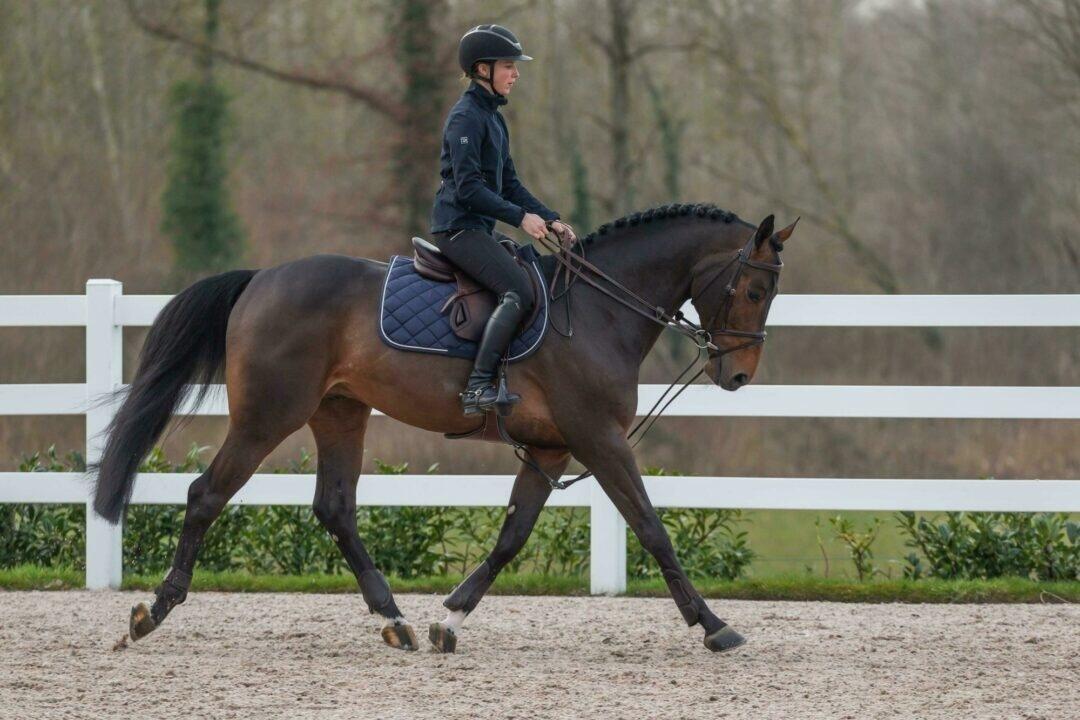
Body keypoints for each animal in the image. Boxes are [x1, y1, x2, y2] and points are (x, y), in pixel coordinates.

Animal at [92, 202, 796, 654]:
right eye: (754, 291)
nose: (738, 374)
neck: (600, 310)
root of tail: (260, 279)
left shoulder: (552, 447)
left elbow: (512, 535)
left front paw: (450, 619)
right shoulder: (598, 440)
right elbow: (651, 528)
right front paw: (713, 624)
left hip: (340, 413)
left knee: (335, 507)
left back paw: (396, 621)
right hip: (269, 415)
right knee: (206, 495)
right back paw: (152, 614)